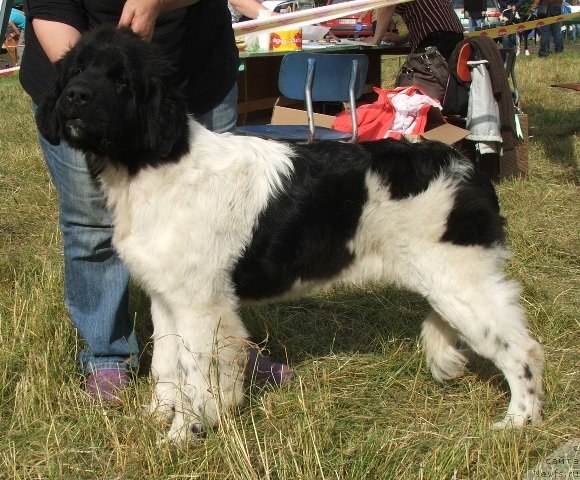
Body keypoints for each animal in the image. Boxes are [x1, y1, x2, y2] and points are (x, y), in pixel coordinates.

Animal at [36, 25, 544, 438]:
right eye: (76, 69)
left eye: (120, 80)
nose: (74, 96)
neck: (157, 163)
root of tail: (466, 166)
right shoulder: (166, 298)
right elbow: (166, 364)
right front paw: (159, 417)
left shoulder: (201, 305)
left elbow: (195, 374)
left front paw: (183, 435)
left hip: (460, 285)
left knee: (524, 350)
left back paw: (518, 423)